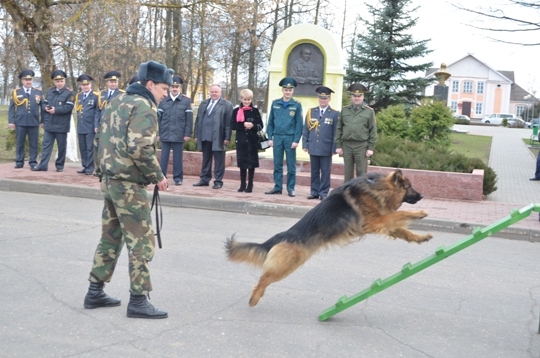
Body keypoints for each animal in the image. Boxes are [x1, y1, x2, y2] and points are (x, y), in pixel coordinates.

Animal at [226, 169, 432, 306]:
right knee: (264, 278)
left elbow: (403, 230)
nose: (422, 195)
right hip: (288, 264)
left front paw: (421, 237)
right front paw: (419, 213)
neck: (377, 187)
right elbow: (401, 214)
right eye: (409, 187)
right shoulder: (376, 221)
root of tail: (284, 235)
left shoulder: (380, 223)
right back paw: (254, 297)